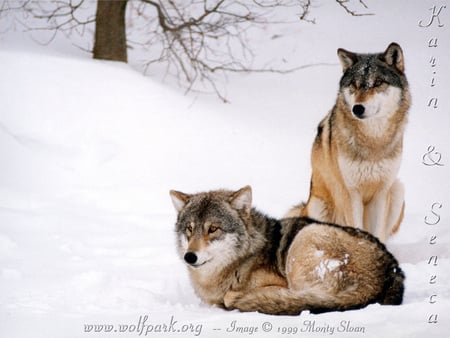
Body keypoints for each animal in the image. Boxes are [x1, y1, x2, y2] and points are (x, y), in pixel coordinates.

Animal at [169, 186, 404, 316]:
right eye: (189, 229)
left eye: (213, 229)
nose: (190, 257)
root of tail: (389, 273)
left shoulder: (278, 282)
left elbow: (229, 296)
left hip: (305, 238)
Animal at [286, 43, 410, 243]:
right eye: (354, 84)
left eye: (378, 83)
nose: (357, 108)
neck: (373, 141)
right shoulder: (351, 193)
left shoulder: (381, 193)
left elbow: (377, 233)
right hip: (319, 206)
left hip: (397, 189)